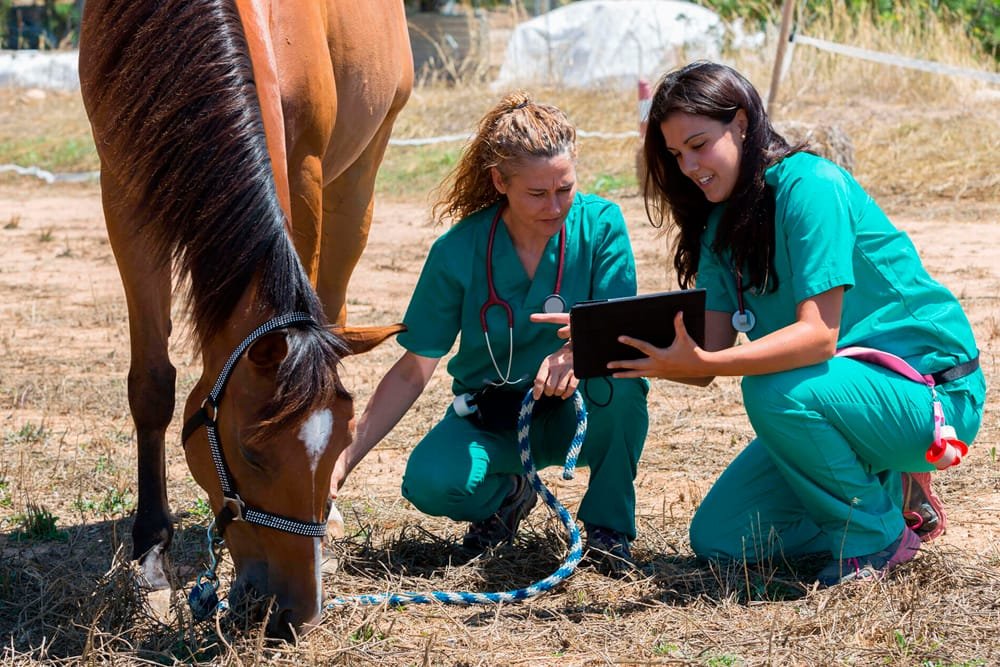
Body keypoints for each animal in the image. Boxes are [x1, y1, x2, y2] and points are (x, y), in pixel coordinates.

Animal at [78, 0, 412, 638]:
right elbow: (151, 385)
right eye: (252, 453)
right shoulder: (124, 186)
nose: (295, 614)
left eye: (343, 441)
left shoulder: (305, 167)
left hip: (362, 170)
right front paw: (150, 555)